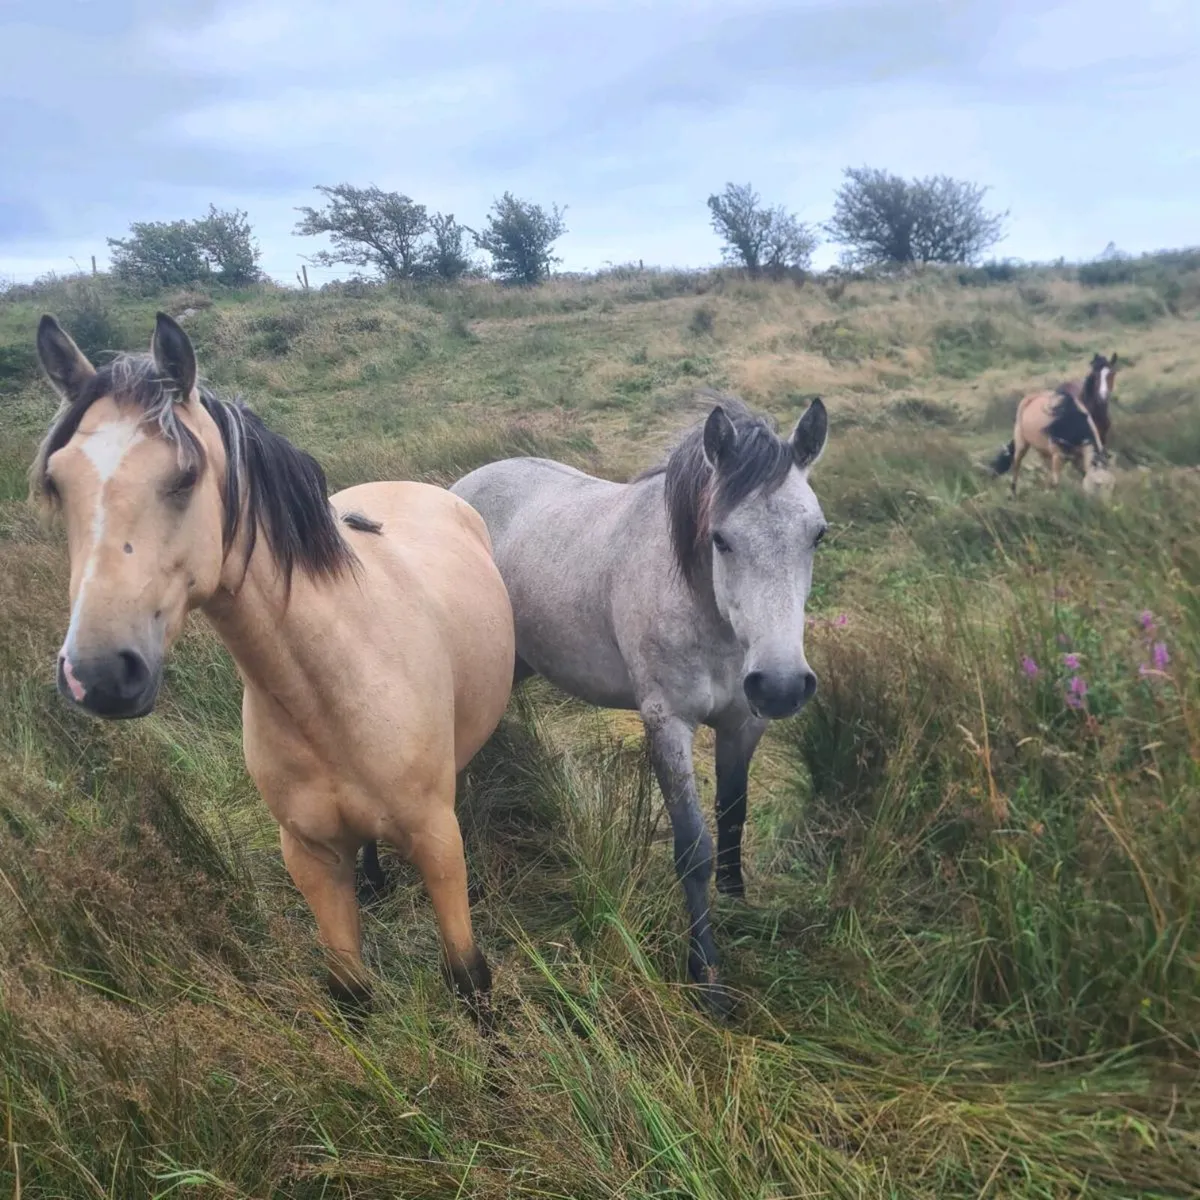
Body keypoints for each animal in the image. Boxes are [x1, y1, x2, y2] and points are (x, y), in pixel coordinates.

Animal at [31, 313, 515, 1024]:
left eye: (184, 477)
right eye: (58, 485)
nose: (98, 675)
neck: (333, 681)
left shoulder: (436, 840)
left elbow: (469, 979)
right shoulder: (308, 855)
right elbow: (351, 994)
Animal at [447, 391, 829, 1015]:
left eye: (817, 535)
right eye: (720, 538)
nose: (780, 686)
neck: (706, 615)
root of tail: (461, 485)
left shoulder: (742, 725)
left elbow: (733, 814)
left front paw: (738, 900)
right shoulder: (668, 724)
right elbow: (694, 847)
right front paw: (707, 977)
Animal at [990, 354, 1118, 497]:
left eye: (1112, 486)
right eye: (1097, 484)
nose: (1107, 502)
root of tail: (1030, 398)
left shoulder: (1078, 455)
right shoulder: (1058, 456)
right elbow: (1056, 482)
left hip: (1043, 449)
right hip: (1022, 443)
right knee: (1017, 463)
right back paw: (1013, 492)